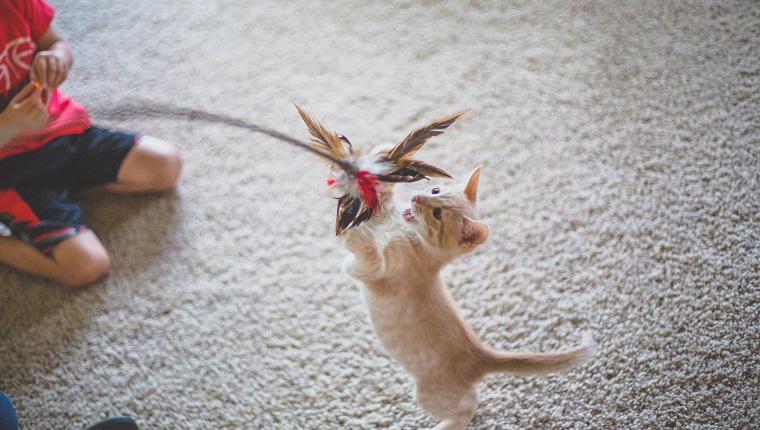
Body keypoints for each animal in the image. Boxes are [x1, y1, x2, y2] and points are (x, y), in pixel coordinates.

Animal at [342, 166, 592, 428]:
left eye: (437, 213)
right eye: (435, 190)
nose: (418, 197)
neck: (406, 232)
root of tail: (480, 354)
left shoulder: (376, 272)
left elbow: (369, 259)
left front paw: (358, 237)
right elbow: (382, 196)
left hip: (429, 395)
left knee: (468, 407)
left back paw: (446, 425)